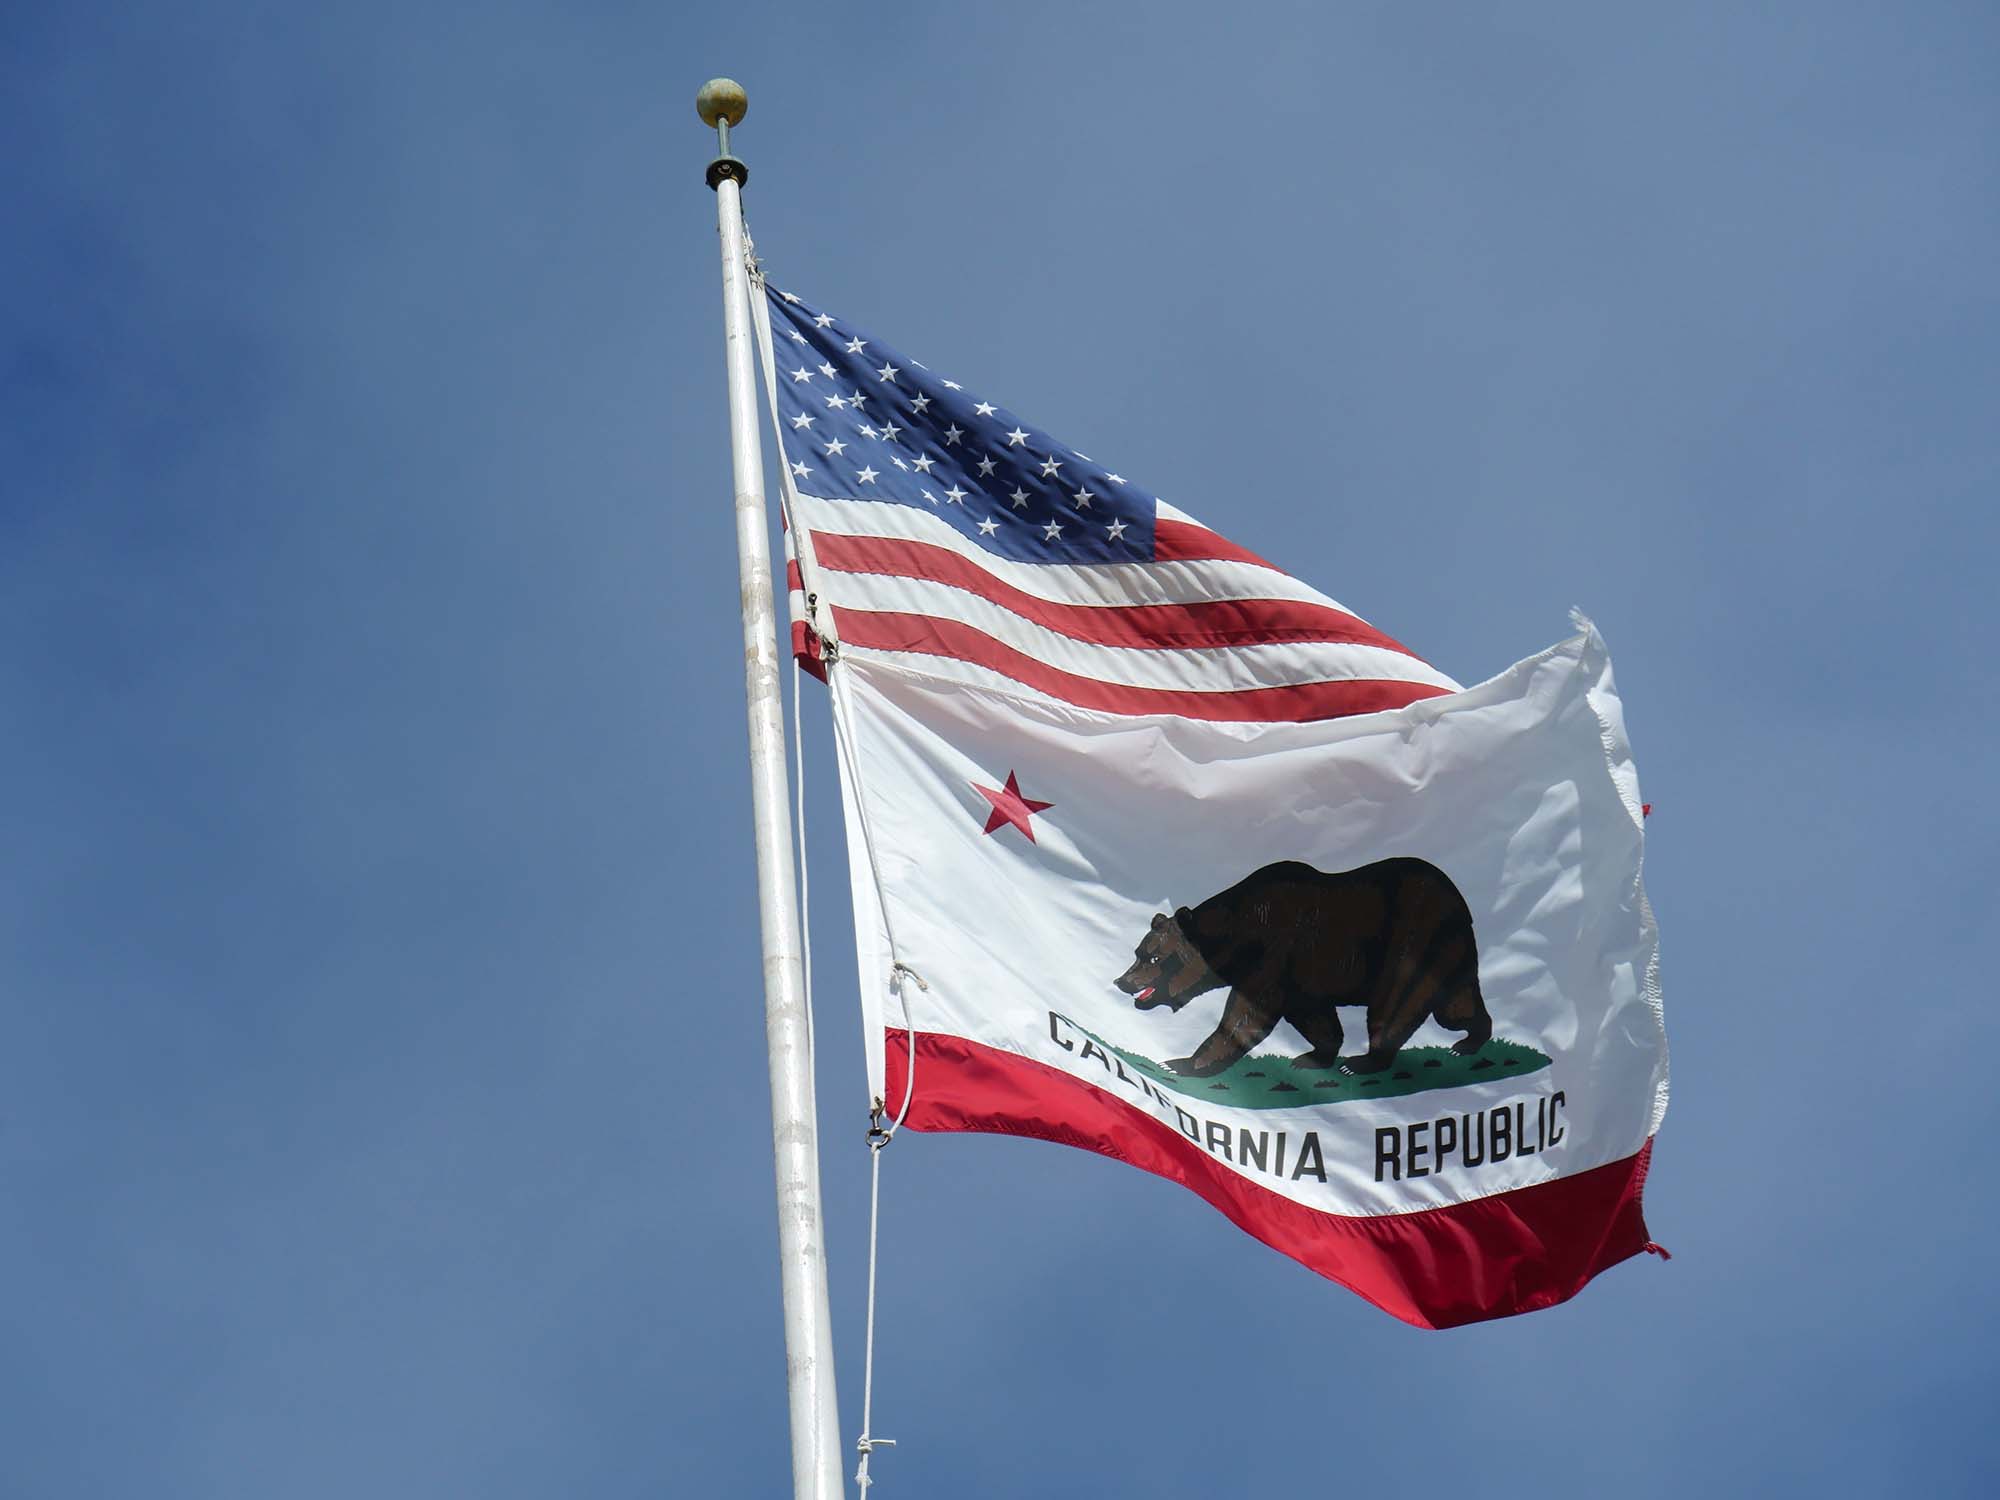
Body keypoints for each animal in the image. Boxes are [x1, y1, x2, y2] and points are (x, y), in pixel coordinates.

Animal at [1120, 856, 1496, 1080]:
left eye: (1154, 958)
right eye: (1138, 952)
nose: (1123, 981)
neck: (1237, 935)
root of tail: (1459, 901)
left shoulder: (1275, 952)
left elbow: (1246, 1014)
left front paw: (1181, 1063)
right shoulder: (1300, 978)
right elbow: (1314, 1016)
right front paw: (1313, 1056)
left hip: (1413, 939)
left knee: (1396, 1003)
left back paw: (1363, 1062)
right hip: (1448, 952)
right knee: (1456, 1006)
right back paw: (1470, 1040)